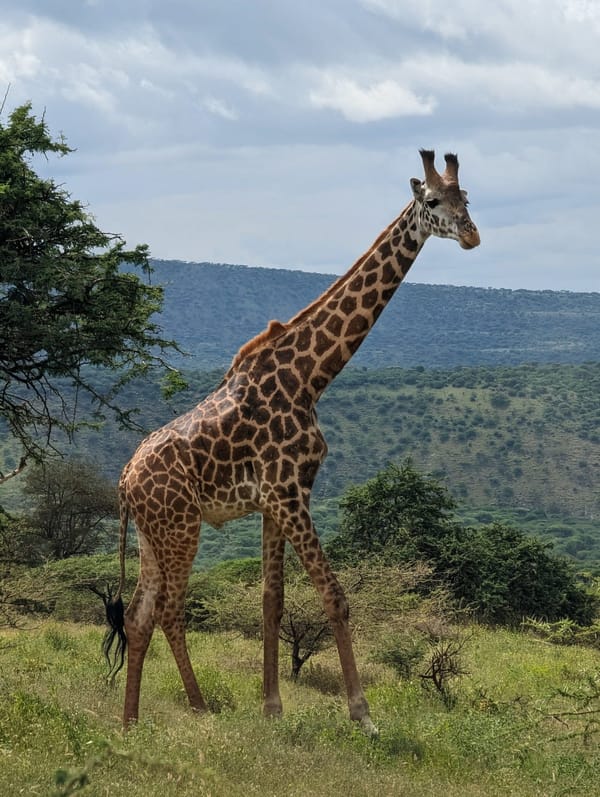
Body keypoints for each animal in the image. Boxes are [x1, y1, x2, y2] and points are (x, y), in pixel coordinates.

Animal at [103, 149, 480, 734]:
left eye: (470, 199)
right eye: (436, 201)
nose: (471, 235)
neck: (311, 378)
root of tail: (123, 483)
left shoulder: (275, 498)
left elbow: (271, 600)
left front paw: (273, 708)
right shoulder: (288, 492)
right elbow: (334, 595)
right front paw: (362, 715)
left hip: (151, 532)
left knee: (141, 614)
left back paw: (131, 723)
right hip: (180, 527)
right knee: (168, 609)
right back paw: (200, 709)